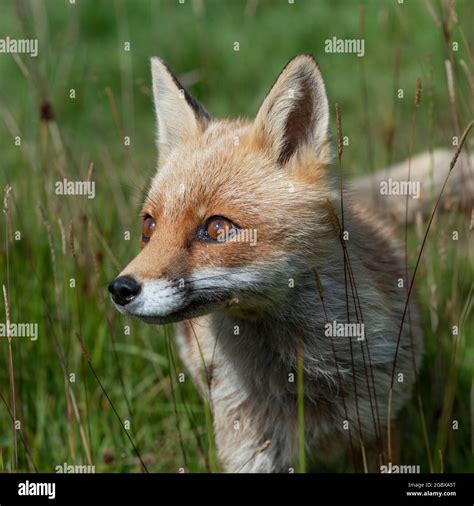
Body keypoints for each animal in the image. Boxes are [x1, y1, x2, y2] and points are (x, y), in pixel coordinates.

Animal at [108, 53, 470, 472]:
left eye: (216, 228)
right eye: (149, 225)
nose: (120, 289)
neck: (304, 375)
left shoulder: (380, 427)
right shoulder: (250, 446)